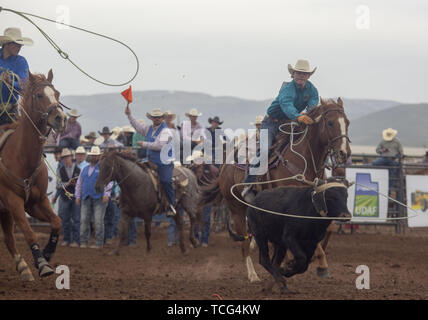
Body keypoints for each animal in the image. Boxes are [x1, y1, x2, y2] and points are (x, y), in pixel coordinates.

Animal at [0, 70, 67, 280]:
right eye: (39, 95)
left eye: (57, 93)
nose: (60, 118)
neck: (22, 156)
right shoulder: (13, 201)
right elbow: (29, 233)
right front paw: (43, 264)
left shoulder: (36, 202)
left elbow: (57, 222)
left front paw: (47, 253)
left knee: (9, 238)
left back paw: (23, 268)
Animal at [201, 98, 352, 282]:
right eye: (330, 123)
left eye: (347, 123)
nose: (344, 153)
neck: (303, 161)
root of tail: (226, 164)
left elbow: (325, 230)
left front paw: (320, 264)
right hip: (236, 208)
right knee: (244, 243)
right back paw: (253, 275)